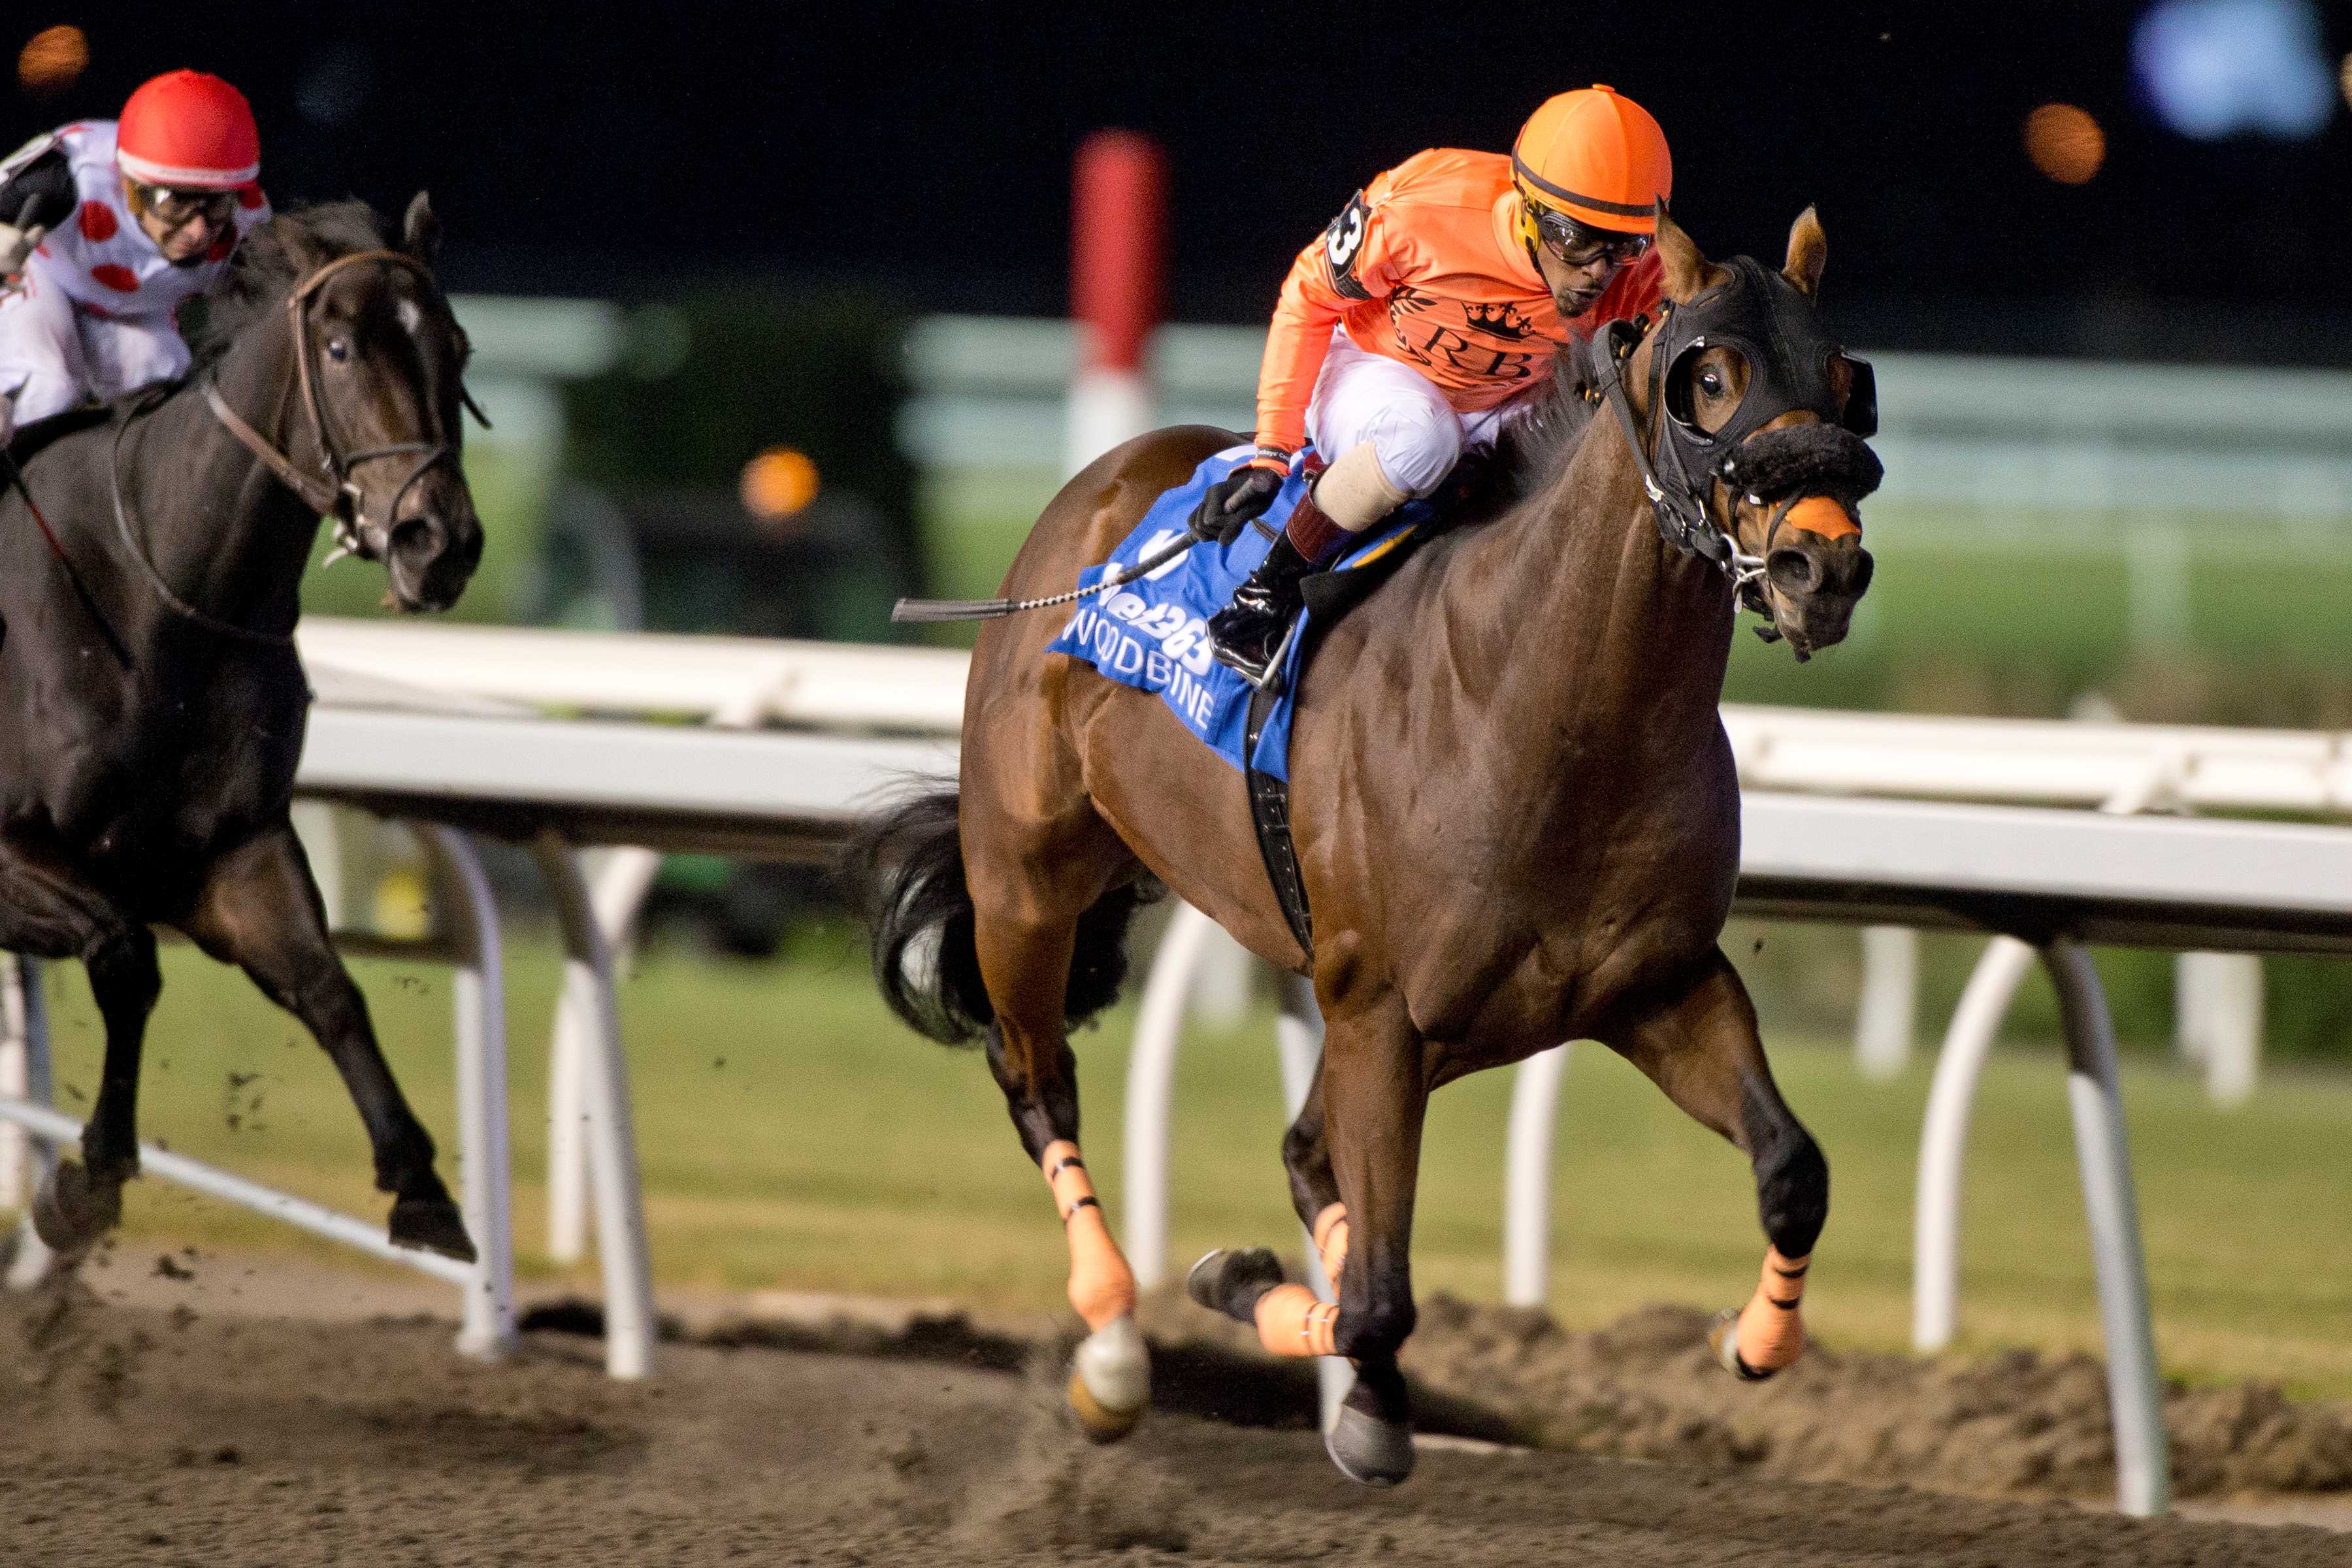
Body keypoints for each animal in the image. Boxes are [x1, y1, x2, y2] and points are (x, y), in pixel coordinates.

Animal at [3, 196, 482, 1269]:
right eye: (340, 348)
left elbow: (328, 986)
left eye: (459, 347)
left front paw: (423, 1192)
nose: (441, 543)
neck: (157, 601)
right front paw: (86, 1182)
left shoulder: (232, 849)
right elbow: (125, 956)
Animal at [856, 208, 1882, 1486]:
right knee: (1038, 1081)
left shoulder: (1653, 986)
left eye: (1846, 381)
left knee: (1303, 1149)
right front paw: (1363, 1402)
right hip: (1027, 881)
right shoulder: (1384, 1011)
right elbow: (1383, 1295)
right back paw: (1113, 1347)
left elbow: (1794, 1171)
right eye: (1711, 380)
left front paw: (1750, 1340)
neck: (1553, 716)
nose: (1822, 568)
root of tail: (1099, 491)